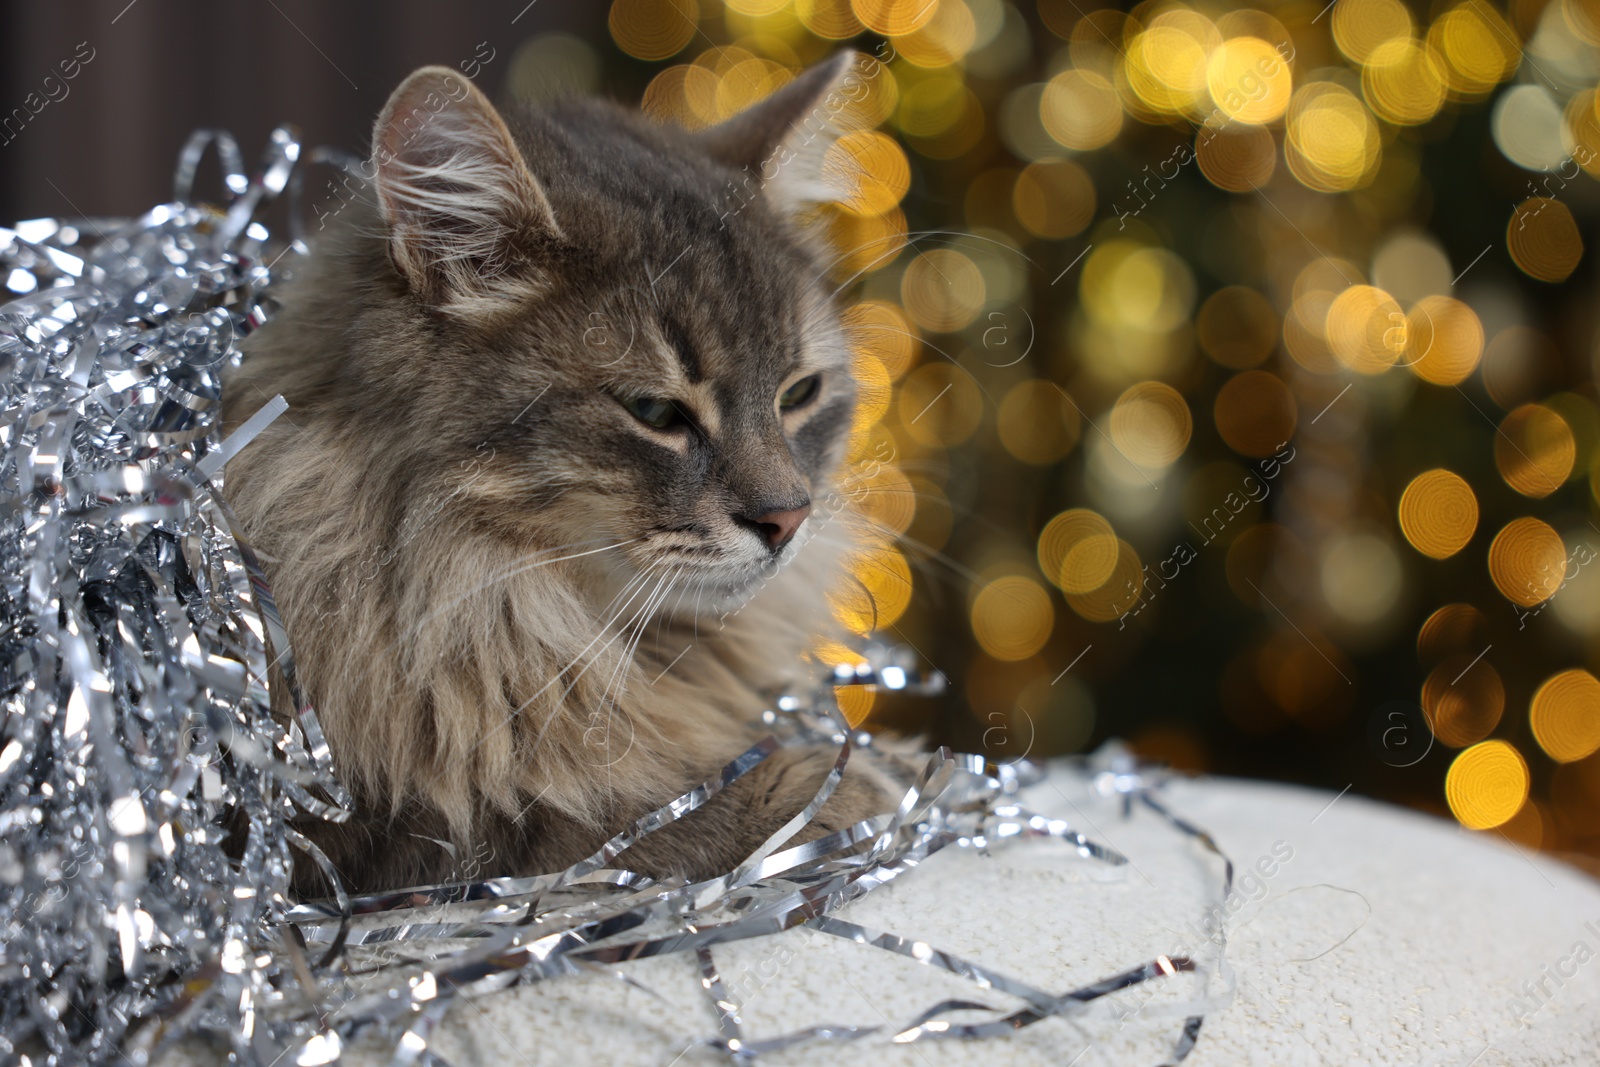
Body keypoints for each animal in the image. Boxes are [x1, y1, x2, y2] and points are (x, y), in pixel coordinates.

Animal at [219, 54, 908, 895]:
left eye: (799, 394)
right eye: (655, 410)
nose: (788, 519)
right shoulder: (369, 833)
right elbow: (617, 817)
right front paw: (848, 784)